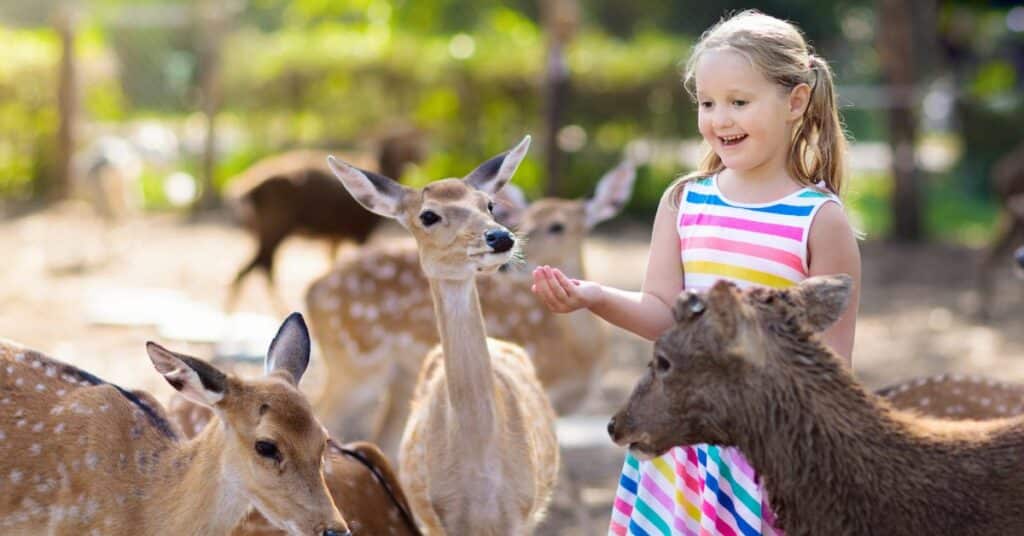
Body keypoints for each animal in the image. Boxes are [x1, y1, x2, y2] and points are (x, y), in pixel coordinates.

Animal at [226, 125, 425, 309]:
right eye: (402, 144)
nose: (419, 158)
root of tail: (244, 193)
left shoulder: (335, 236)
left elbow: (331, 262)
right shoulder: (360, 231)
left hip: (262, 230)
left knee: (256, 267)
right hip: (274, 226)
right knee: (256, 268)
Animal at [307, 160, 634, 452]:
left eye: (558, 226)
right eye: (526, 221)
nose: (509, 246)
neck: (580, 351)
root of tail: (313, 289)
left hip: (397, 377)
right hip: (355, 362)